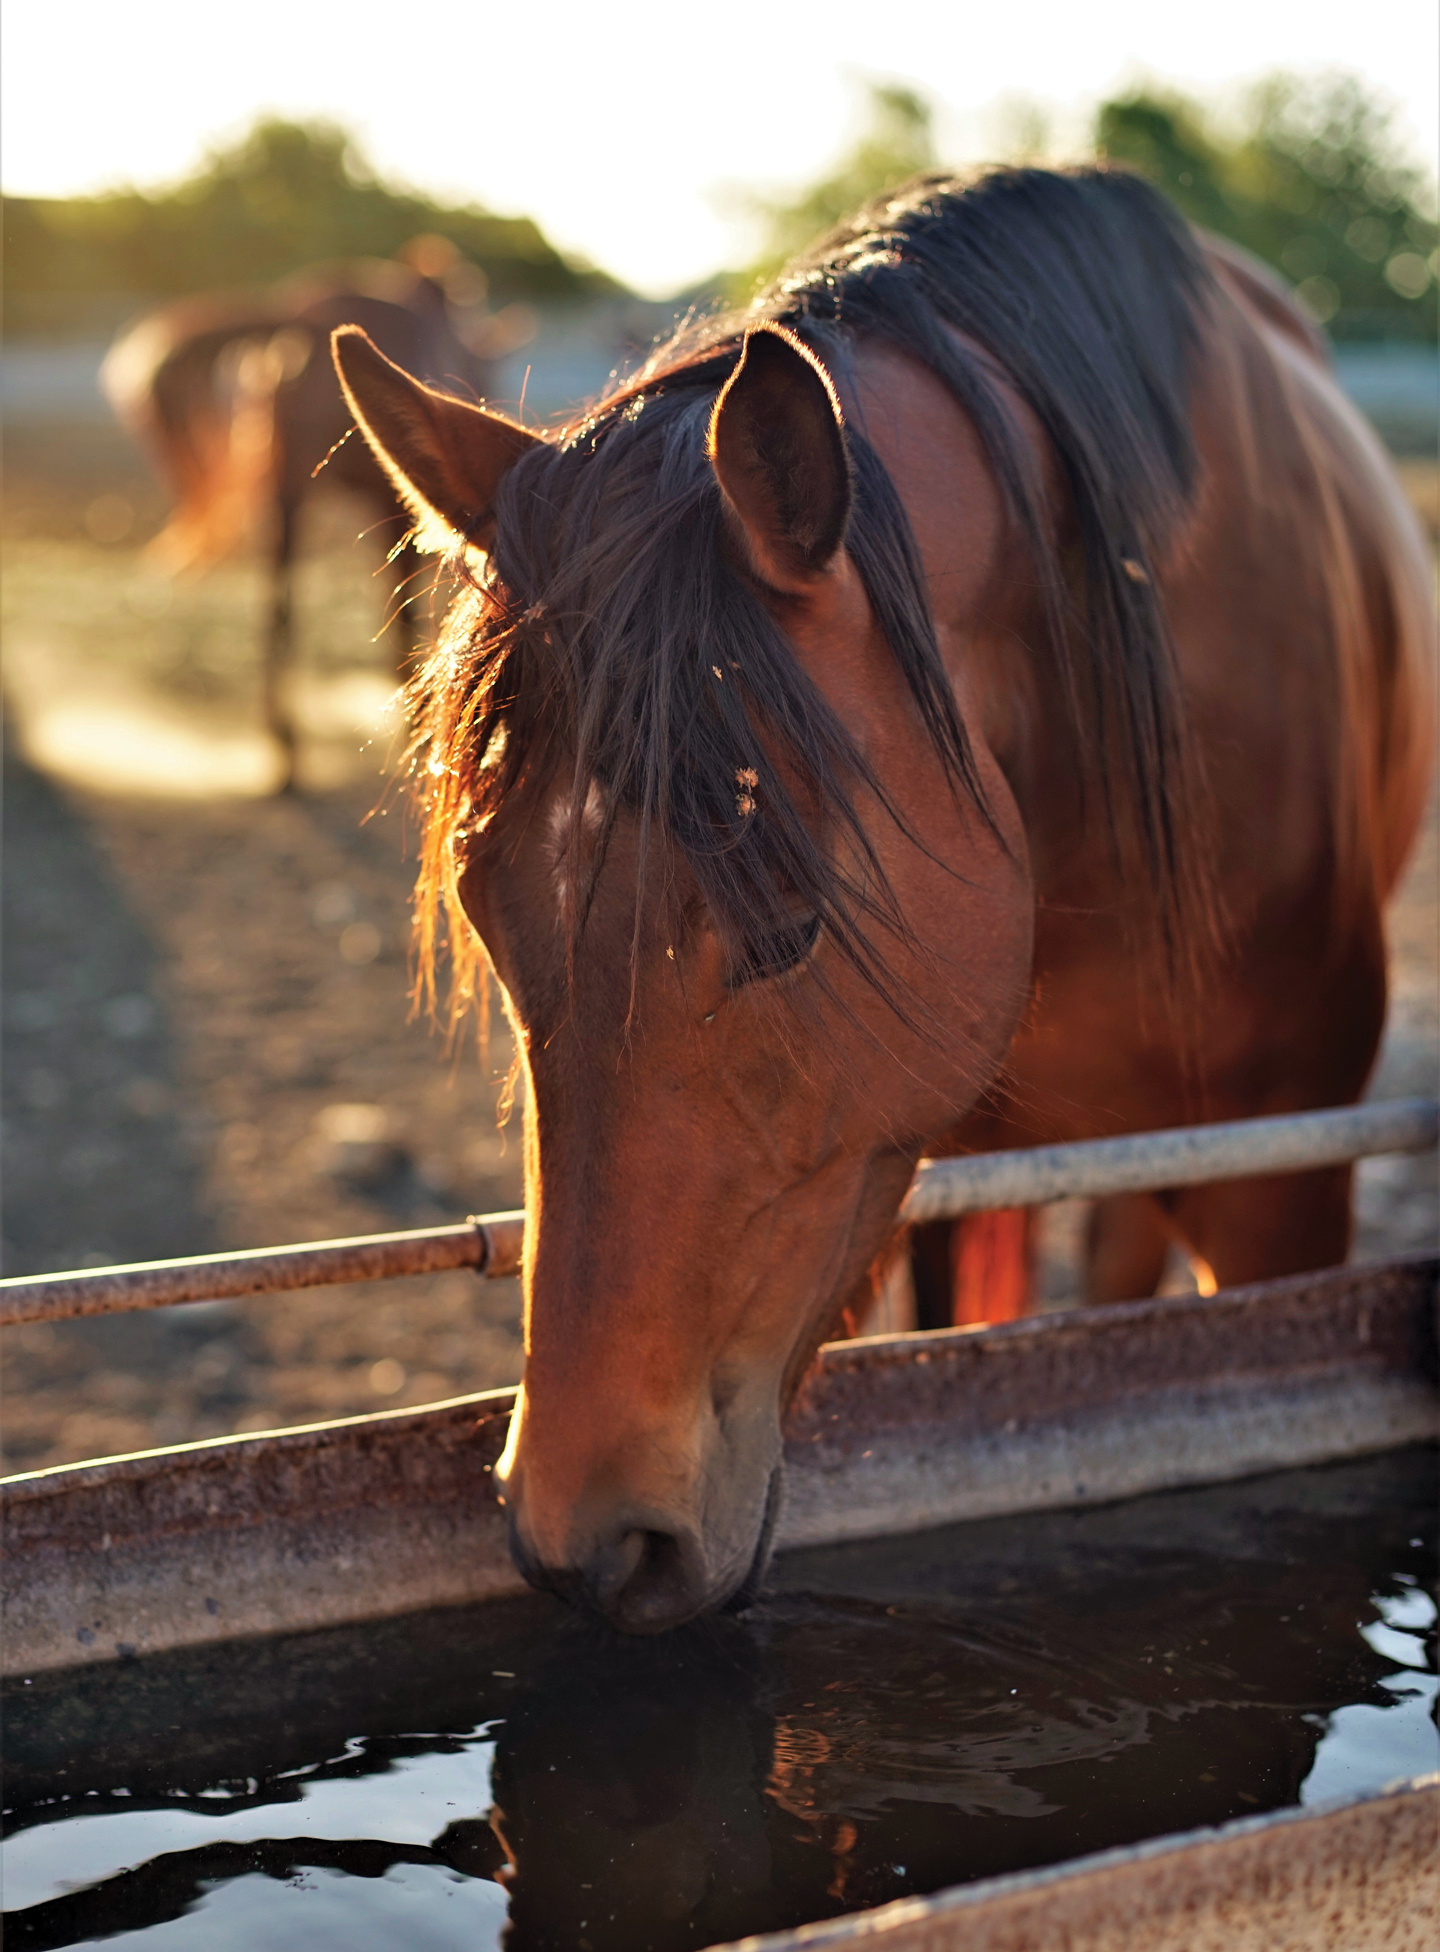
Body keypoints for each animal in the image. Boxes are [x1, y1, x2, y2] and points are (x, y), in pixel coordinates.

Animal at [103, 245, 530, 786]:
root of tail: (301, 320)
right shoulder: (396, 509)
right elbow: (402, 613)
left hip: (286, 493)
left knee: (277, 609)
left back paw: (282, 742)